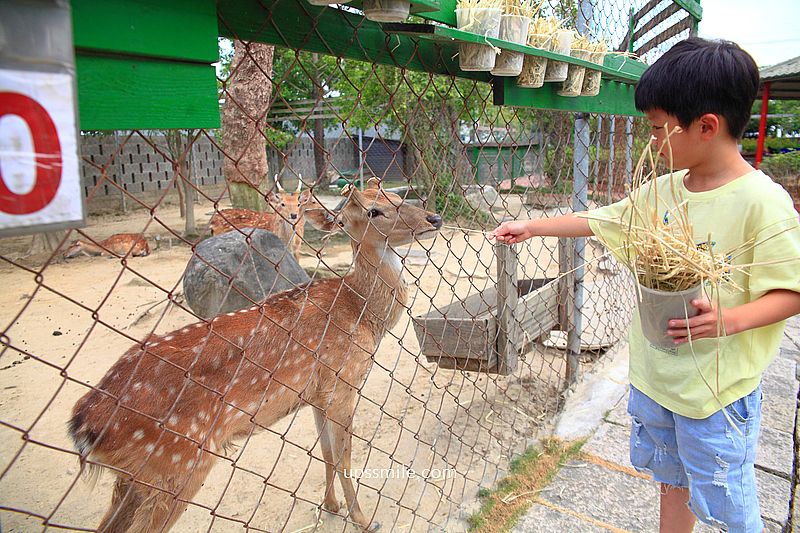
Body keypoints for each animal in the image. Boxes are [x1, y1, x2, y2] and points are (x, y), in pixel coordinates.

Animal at [68, 177, 443, 533]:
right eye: (373, 211)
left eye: (398, 197)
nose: (434, 217)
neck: (360, 311)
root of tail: (83, 425)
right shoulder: (343, 382)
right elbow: (345, 459)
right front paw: (365, 520)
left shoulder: (317, 395)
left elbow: (325, 453)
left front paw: (331, 506)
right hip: (176, 463)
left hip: (135, 477)